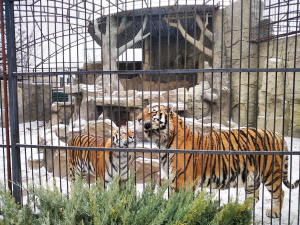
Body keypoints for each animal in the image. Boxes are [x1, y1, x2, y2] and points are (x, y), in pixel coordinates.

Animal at [137, 104, 298, 217]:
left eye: (152, 111)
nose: (138, 119)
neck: (162, 140)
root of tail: (279, 135)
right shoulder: (172, 177)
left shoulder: (182, 179)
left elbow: (179, 200)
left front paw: (176, 212)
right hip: (252, 178)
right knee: (254, 197)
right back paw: (241, 210)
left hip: (271, 174)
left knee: (280, 193)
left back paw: (274, 212)